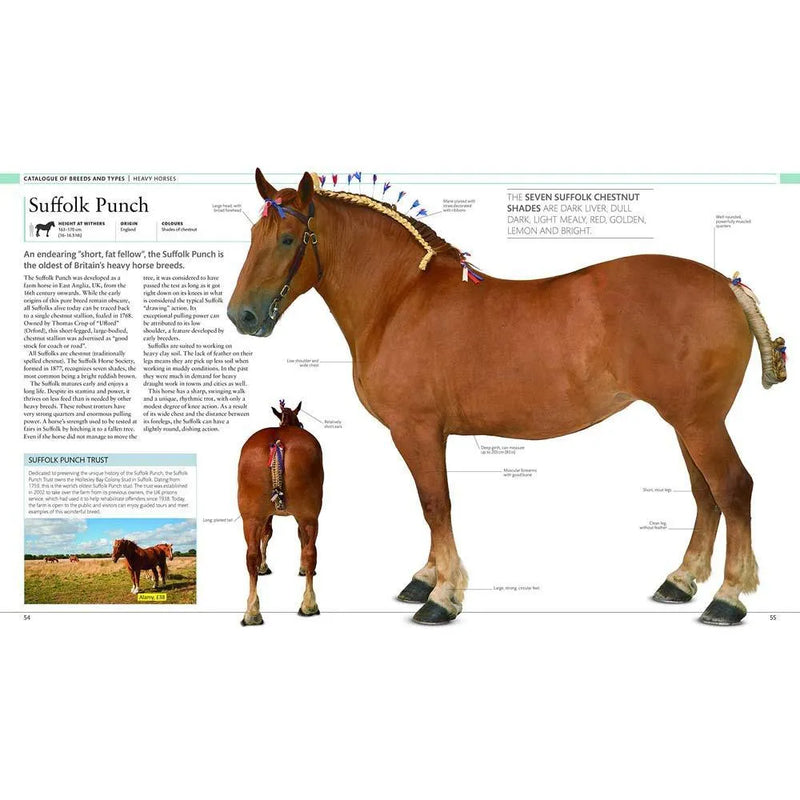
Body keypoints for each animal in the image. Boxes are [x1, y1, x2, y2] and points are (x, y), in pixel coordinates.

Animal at [237, 399, 324, 624]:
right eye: (300, 422)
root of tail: (278, 442)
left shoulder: (265, 516)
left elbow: (266, 537)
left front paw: (263, 566)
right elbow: (296, 539)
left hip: (251, 519)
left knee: (251, 555)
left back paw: (252, 612)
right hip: (309, 517)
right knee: (310, 552)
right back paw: (309, 604)